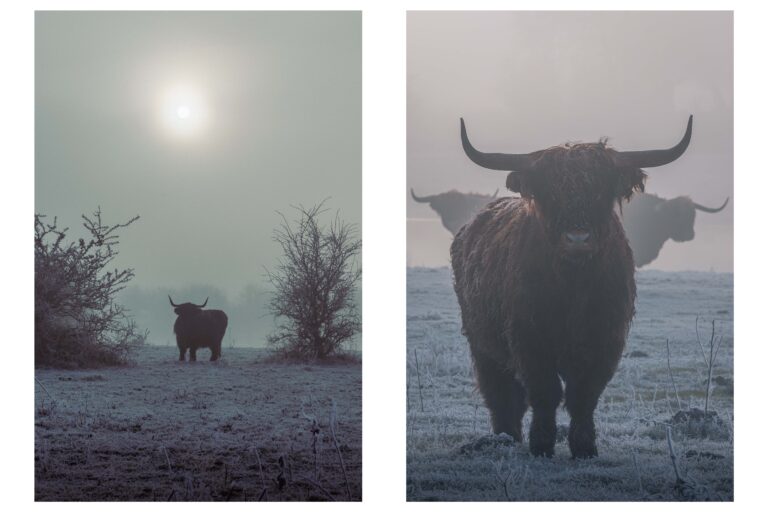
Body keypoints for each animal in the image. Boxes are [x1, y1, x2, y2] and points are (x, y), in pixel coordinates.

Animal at [452, 117, 692, 460]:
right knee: (501, 395)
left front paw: (584, 446)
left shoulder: (605, 339)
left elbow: (584, 395)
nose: (578, 239)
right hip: (483, 345)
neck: (573, 286)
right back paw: (505, 438)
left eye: (601, 190)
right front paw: (541, 445)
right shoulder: (529, 339)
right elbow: (545, 392)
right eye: (550, 193)